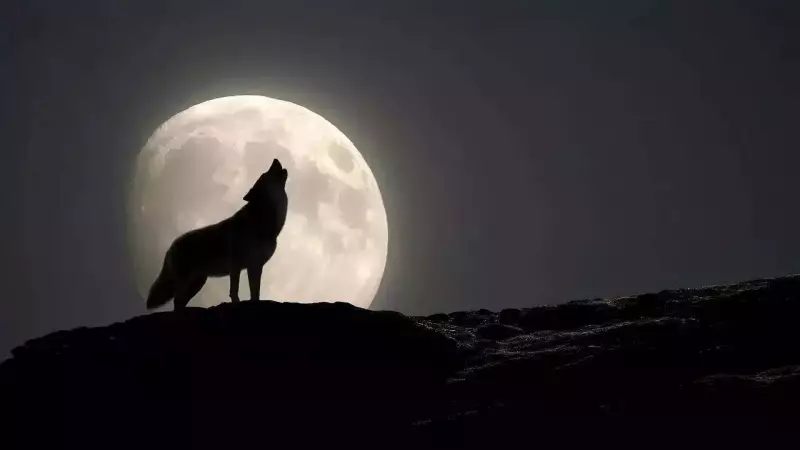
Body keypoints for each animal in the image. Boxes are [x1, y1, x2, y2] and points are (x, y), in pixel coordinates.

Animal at [146, 158, 289, 311]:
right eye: (264, 175)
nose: (275, 159)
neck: (263, 217)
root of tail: (171, 247)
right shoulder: (241, 266)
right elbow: (237, 291)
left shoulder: (255, 266)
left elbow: (254, 292)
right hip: (188, 282)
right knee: (177, 301)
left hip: (198, 282)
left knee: (180, 301)